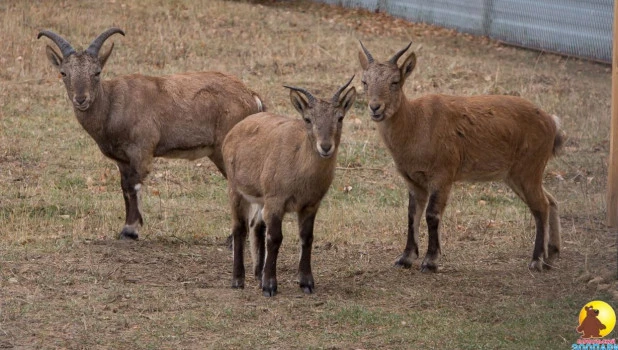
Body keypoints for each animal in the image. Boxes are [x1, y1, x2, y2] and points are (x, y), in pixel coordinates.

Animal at [38, 28, 264, 241]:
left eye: (97, 72)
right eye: (63, 73)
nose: (81, 99)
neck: (112, 104)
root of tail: (252, 97)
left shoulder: (142, 150)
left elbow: (134, 186)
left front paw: (130, 231)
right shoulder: (122, 159)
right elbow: (125, 188)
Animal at [221, 76, 356, 296]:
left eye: (340, 117)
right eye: (308, 119)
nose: (325, 147)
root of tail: (235, 130)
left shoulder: (310, 204)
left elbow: (307, 237)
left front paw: (306, 282)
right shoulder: (276, 200)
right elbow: (275, 238)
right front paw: (270, 286)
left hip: (260, 198)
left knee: (256, 225)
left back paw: (257, 274)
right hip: (236, 190)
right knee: (239, 228)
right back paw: (238, 279)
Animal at [358, 41, 560, 270]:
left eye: (395, 81)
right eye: (364, 81)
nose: (375, 107)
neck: (416, 126)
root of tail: (553, 123)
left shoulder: (444, 173)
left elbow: (432, 214)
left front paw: (430, 261)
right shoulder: (412, 179)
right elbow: (411, 214)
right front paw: (405, 258)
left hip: (530, 167)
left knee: (541, 206)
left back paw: (536, 260)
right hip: (518, 174)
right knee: (550, 200)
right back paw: (552, 254)